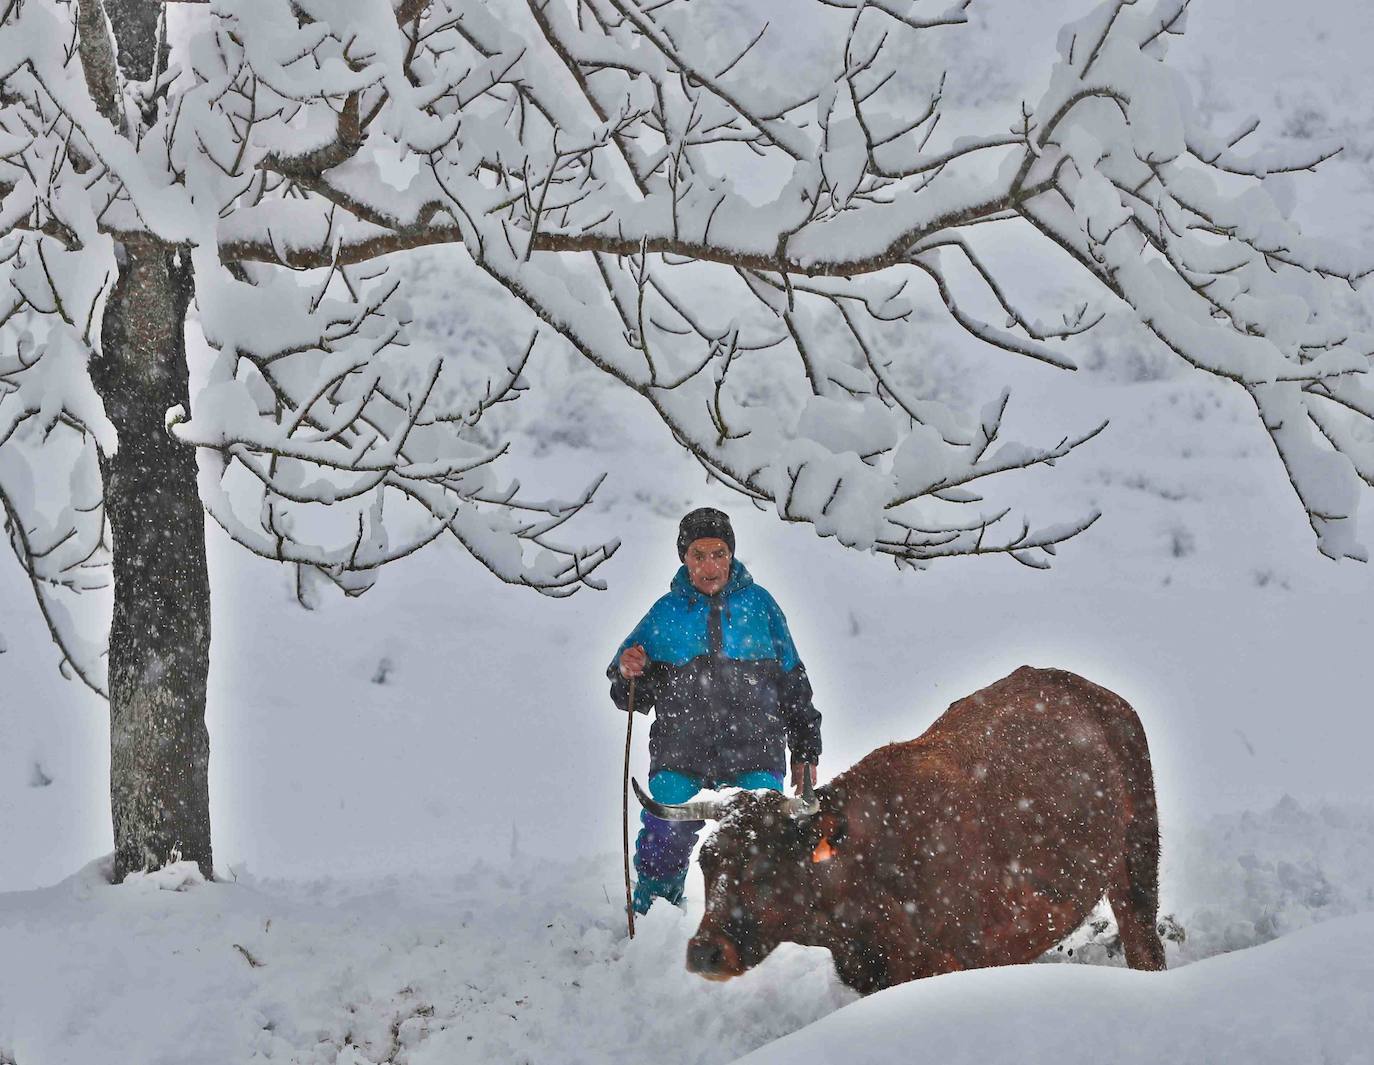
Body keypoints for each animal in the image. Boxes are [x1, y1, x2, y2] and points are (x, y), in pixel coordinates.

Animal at [637, 662, 1165, 994]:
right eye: (706, 863)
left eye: (763, 866)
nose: (705, 952)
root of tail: (1103, 696)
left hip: (1138, 856)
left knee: (1145, 942)